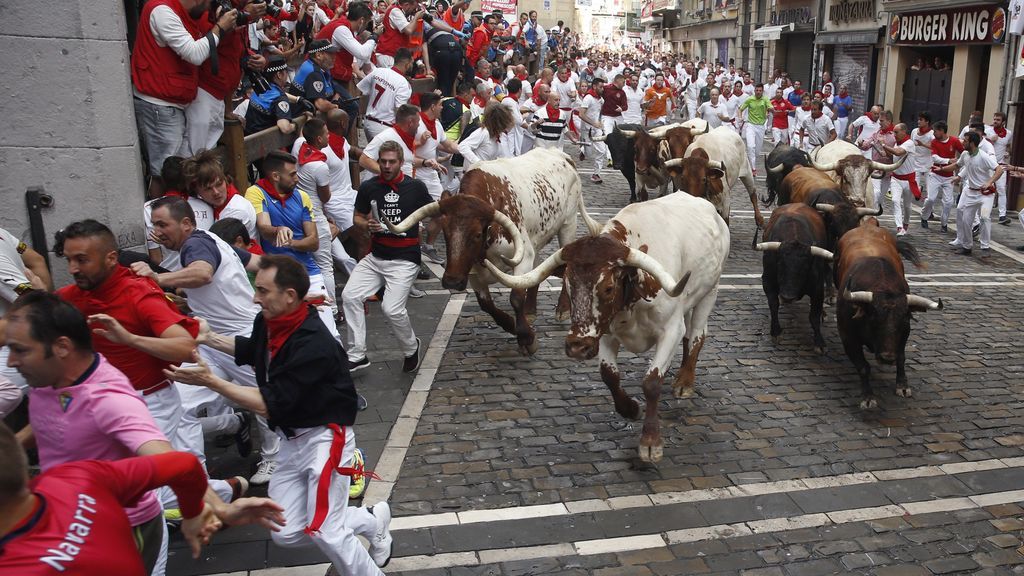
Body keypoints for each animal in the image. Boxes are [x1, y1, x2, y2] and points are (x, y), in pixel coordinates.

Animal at [385, 146, 585, 354]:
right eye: (446, 232)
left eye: (477, 234)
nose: (452, 281)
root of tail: (560, 154)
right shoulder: (472, 269)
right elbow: (486, 304)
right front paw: (512, 325)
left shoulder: (523, 257)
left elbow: (515, 297)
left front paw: (527, 338)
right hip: (537, 239)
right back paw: (530, 311)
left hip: (568, 224)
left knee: (567, 264)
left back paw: (562, 309)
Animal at [481, 192, 729, 461]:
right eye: (567, 283)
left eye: (608, 288)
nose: (577, 346)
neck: (636, 291)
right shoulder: (606, 334)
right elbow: (609, 376)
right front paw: (630, 409)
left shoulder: (671, 331)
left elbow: (651, 382)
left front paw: (650, 441)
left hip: (710, 292)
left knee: (696, 336)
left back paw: (684, 381)